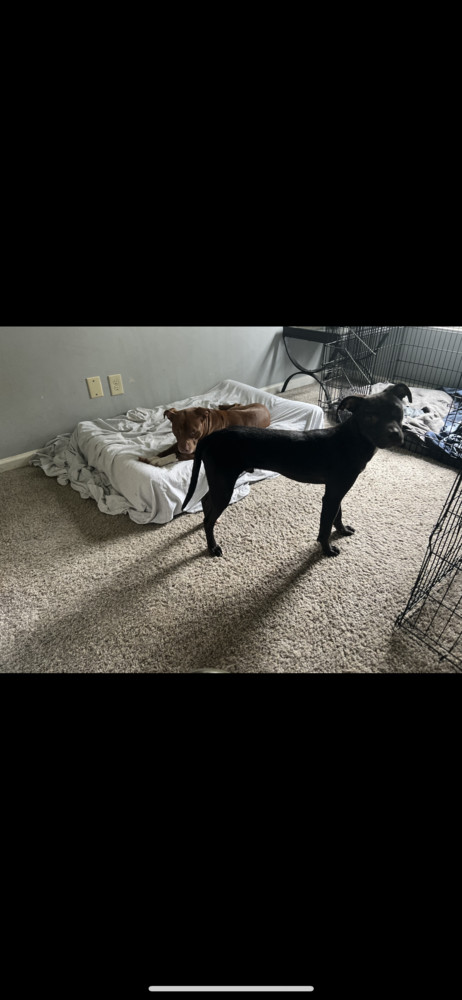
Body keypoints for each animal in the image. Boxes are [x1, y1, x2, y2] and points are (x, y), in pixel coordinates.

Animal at [139, 400, 272, 466]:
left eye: (194, 432)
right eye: (177, 431)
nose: (185, 448)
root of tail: (264, 407)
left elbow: (177, 454)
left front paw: (159, 461)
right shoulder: (179, 443)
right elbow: (168, 449)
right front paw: (154, 456)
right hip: (237, 409)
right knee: (236, 404)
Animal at [180, 382, 412, 560]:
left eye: (398, 411)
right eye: (370, 417)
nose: (395, 434)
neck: (352, 440)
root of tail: (212, 436)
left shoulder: (337, 490)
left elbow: (338, 515)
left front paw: (342, 530)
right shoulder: (332, 494)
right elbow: (325, 525)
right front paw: (327, 549)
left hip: (220, 480)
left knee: (206, 501)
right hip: (224, 483)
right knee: (208, 519)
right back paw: (212, 547)